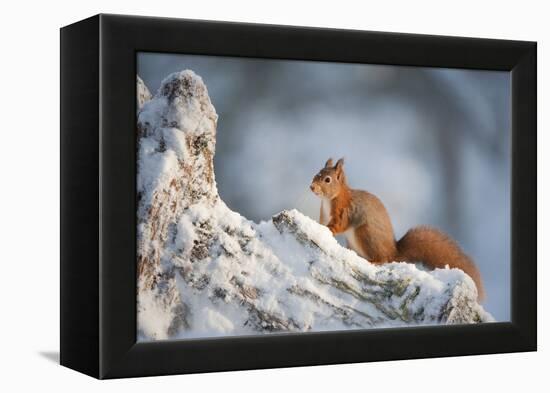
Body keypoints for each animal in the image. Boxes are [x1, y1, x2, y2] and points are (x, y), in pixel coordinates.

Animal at [312, 158, 486, 298]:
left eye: (327, 179)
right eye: (317, 173)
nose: (312, 187)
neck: (329, 200)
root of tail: (393, 252)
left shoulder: (345, 212)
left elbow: (338, 225)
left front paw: (329, 231)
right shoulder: (323, 215)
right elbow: (321, 223)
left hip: (366, 235)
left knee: (383, 259)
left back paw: (374, 261)